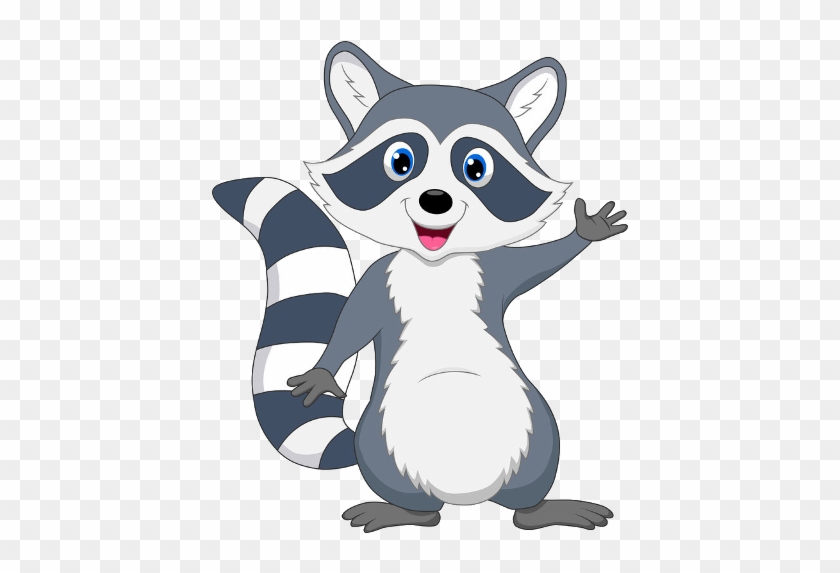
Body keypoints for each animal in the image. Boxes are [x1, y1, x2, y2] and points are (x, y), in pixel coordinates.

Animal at [213, 42, 627, 532]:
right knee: (414, 497)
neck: (434, 263)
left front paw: (586, 231)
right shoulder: (381, 276)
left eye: (476, 167)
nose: (435, 200)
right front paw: (322, 370)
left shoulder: (492, 269)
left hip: (533, 431)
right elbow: (353, 321)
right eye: (400, 161)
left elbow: (538, 263)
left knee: (531, 476)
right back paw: (407, 511)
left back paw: (537, 509)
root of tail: (467, 496)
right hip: (381, 443)